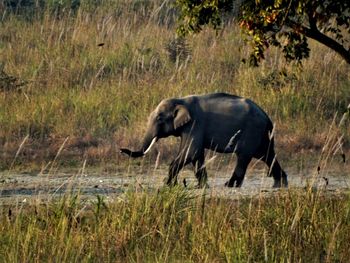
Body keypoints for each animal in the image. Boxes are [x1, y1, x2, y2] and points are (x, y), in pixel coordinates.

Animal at [119, 93, 288, 188]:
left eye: (160, 118)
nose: (121, 149)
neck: (180, 100)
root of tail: (267, 117)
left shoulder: (195, 123)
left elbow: (190, 152)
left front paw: (168, 185)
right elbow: (196, 155)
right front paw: (202, 186)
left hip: (252, 131)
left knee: (244, 157)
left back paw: (230, 185)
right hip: (262, 135)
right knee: (267, 155)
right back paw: (279, 185)